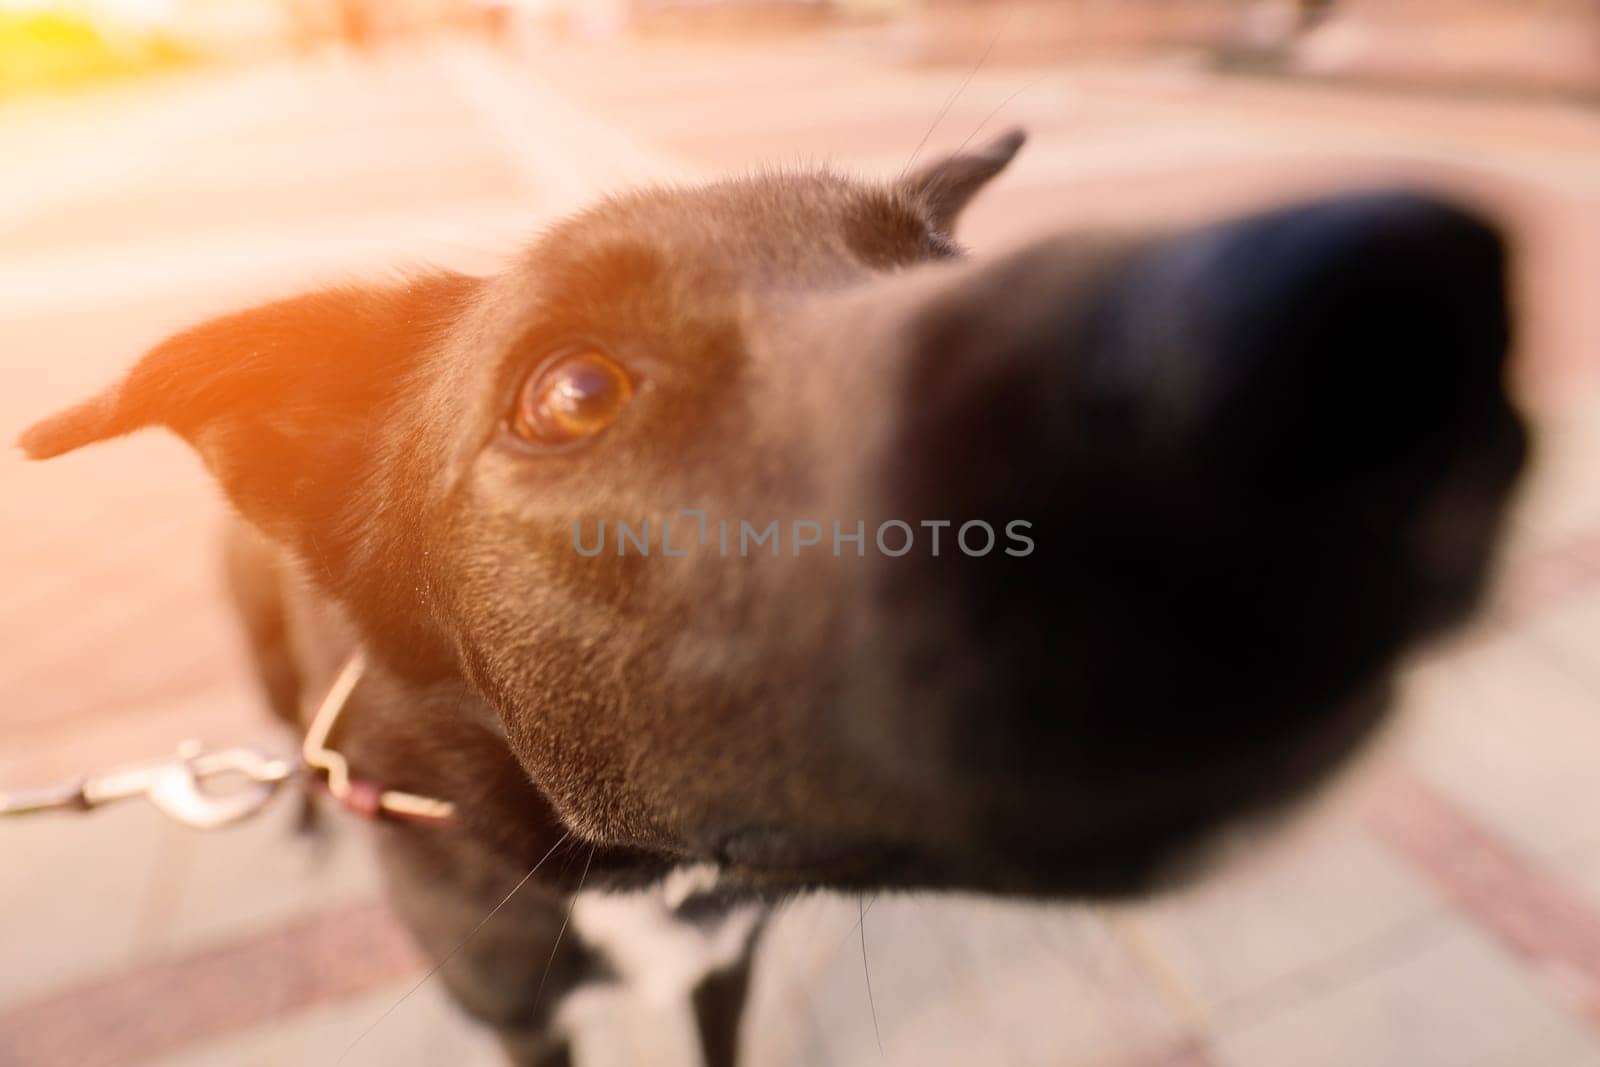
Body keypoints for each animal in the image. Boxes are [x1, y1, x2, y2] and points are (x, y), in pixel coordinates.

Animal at [21, 135, 1523, 1067]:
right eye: (572, 391)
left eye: (940, 264)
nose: (1375, 317)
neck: (624, 871)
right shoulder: (518, 1016)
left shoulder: (720, 963)